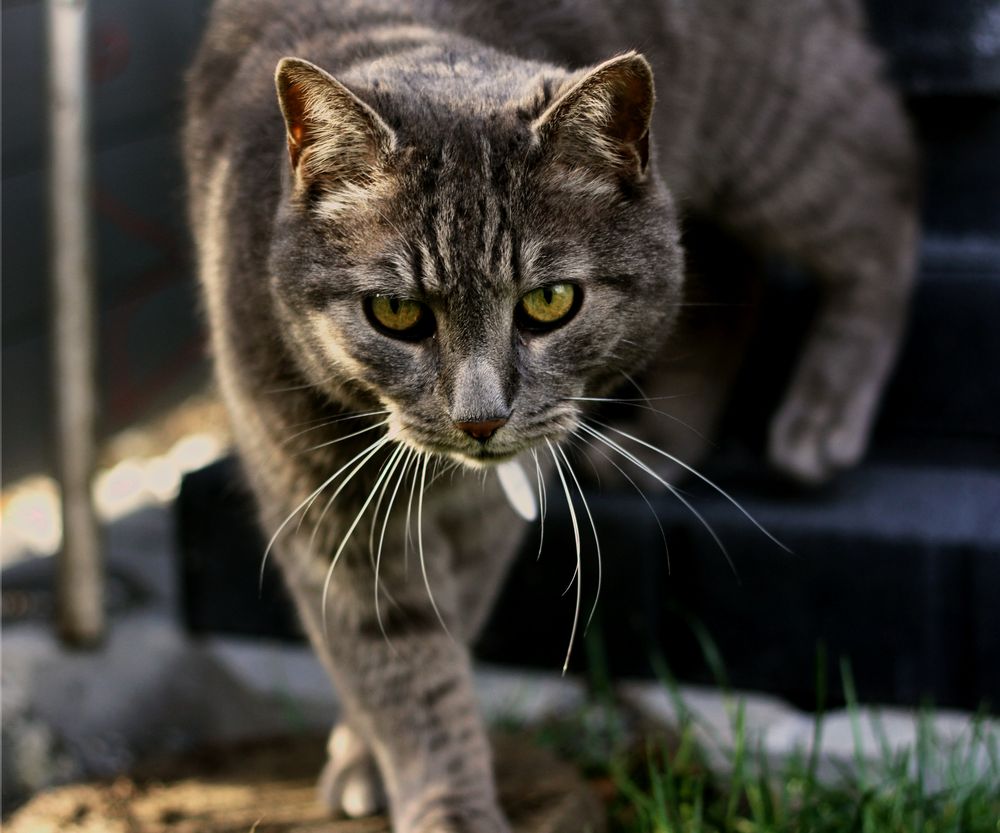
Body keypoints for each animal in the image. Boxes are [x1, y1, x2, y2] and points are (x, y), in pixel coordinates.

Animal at [184, 0, 916, 828]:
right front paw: (385, 764)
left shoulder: (478, 519)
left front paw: (424, 790)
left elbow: (431, 649)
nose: (480, 419)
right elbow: (393, 662)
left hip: (776, 128)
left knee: (882, 189)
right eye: (395, 312)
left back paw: (822, 419)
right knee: (736, 277)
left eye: (550, 300)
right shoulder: (324, 502)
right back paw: (653, 449)